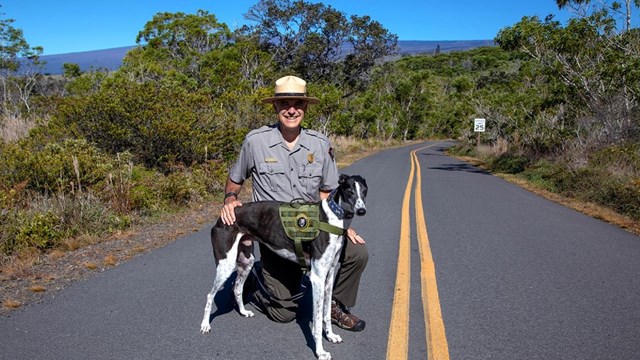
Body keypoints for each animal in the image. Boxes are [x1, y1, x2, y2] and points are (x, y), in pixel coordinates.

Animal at [200, 174, 370, 358]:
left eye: (364, 191)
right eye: (349, 191)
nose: (362, 211)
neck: (332, 219)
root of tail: (220, 218)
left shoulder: (329, 275)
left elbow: (325, 313)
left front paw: (331, 335)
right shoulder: (317, 278)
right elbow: (317, 320)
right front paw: (320, 351)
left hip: (246, 261)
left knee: (238, 288)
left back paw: (244, 311)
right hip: (226, 265)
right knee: (210, 295)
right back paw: (205, 325)